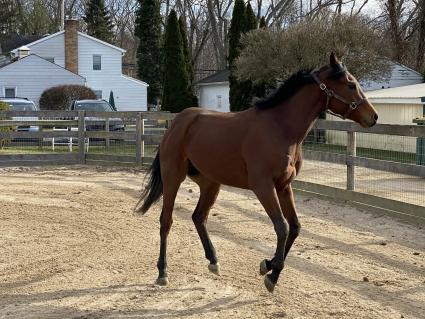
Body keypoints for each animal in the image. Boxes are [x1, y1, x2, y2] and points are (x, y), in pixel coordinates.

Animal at [135, 53, 374, 292]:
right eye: (351, 84)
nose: (373, 117)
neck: (280, 128)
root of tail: (177, 123)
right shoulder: (263, 186)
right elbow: (281, 227)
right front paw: (272, 273)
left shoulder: (284, 186)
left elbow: (294, 227)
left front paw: (269, 266)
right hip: (172, 178)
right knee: (166, 221)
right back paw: (163, 272)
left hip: (211, 183)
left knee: (199, 217)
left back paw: (213, 261)